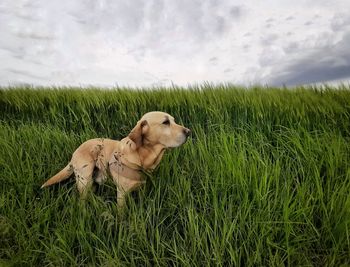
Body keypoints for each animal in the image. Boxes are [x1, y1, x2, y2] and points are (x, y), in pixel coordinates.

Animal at [41, 112, 191, 208]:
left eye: (173, 120)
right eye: (165, 122)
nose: (189, 132)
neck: (141, 156)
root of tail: (76, 151)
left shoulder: (141, 189)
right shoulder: (122, 194)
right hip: (85, 178)